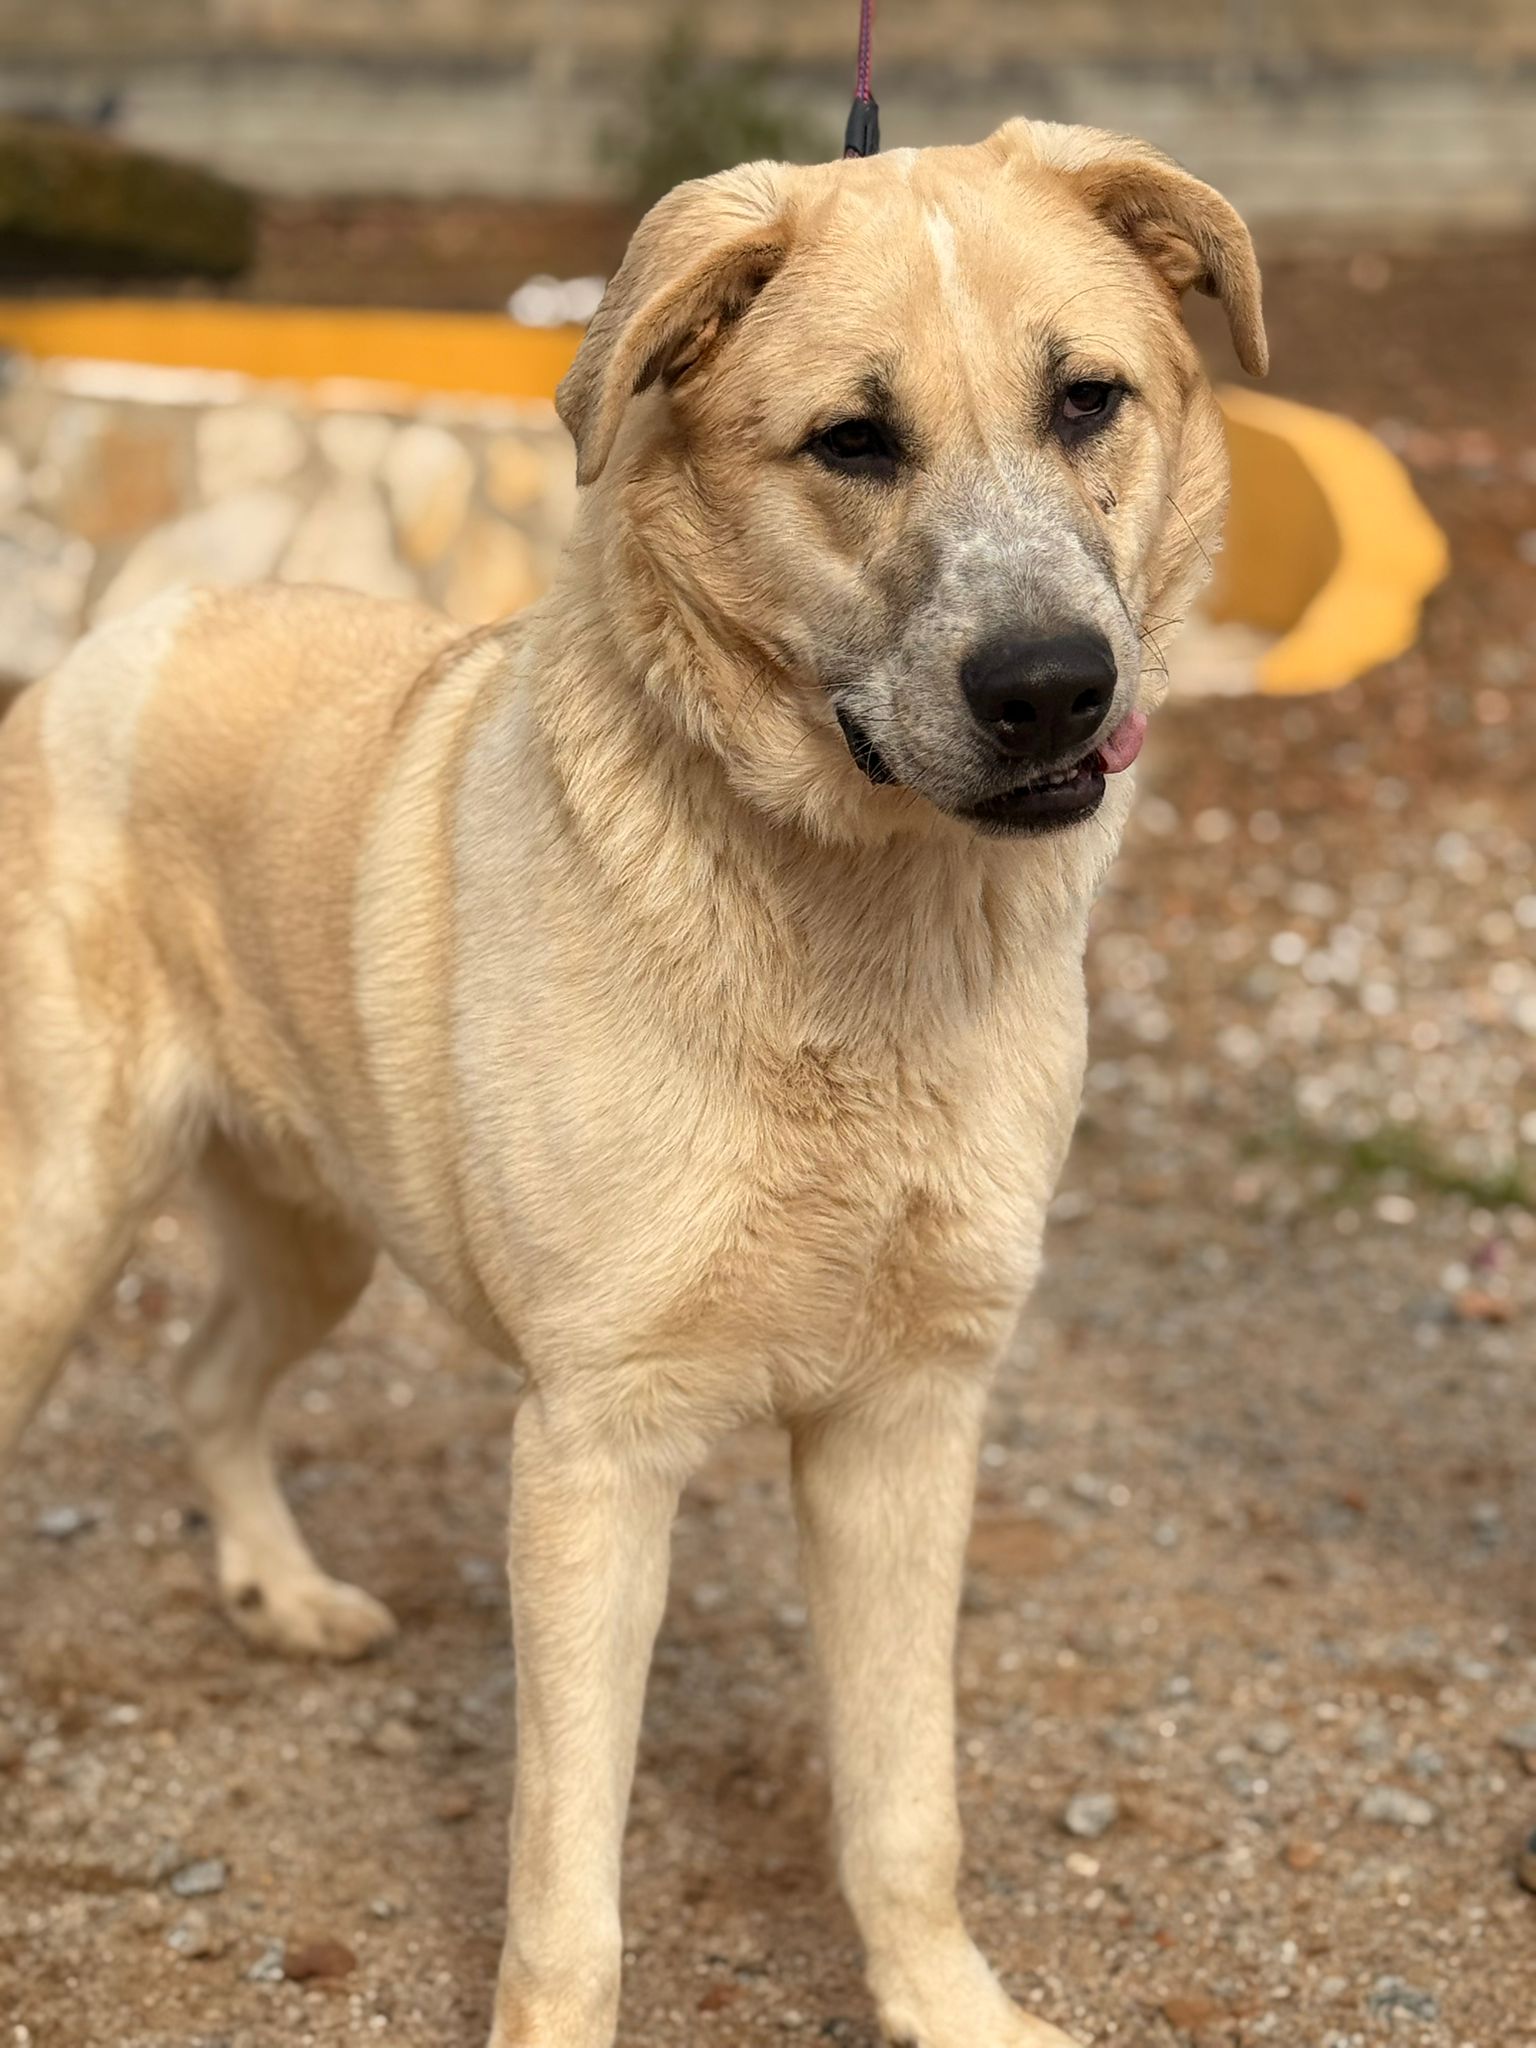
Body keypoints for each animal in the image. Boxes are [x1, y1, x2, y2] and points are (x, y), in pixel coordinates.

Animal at [0, 121, 1263, 2048]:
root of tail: (123, 632)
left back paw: (280, 1594)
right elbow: (568, 1889)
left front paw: (948, 2006)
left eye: (1086, 401)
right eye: (854, 440)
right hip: (60, 1217)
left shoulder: (909, 1420)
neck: (850, 949)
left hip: (315, 1233)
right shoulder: (596, 1449)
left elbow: (907, 1807)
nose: (1054, 688)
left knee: (204, 1377)